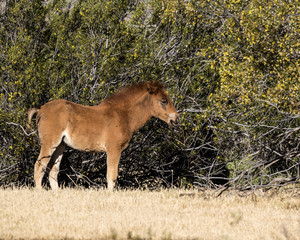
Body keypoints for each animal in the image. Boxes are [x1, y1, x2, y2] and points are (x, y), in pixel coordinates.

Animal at [28, 81, 179, 190]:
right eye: (163, 100)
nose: (176, 118)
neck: (123, 115)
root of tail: (41, 110)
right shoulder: (113, 149)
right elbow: (112, 176)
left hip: (60, 146)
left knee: (53, 170)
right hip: (50, 143)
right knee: (39, 165)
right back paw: (39, 191)